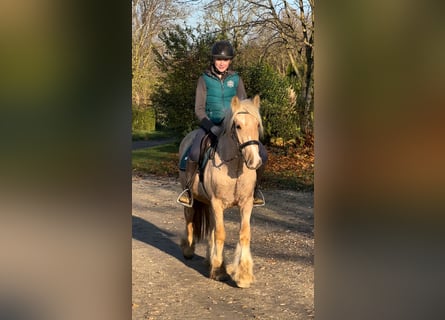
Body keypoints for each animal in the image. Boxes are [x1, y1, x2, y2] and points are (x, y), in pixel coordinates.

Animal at [177, 94, 262, 288]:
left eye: (257, 125)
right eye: (238, 126)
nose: (254, 161)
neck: (234, 167)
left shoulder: (246, 204)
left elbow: (244, 234)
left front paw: (243, 275)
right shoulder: (217, 203)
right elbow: (221, 234)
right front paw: (219, 270)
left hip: (209, 203)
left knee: (211, 229)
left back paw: (210, 258)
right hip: (191, 197)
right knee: (190, 218)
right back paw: (188, 249)